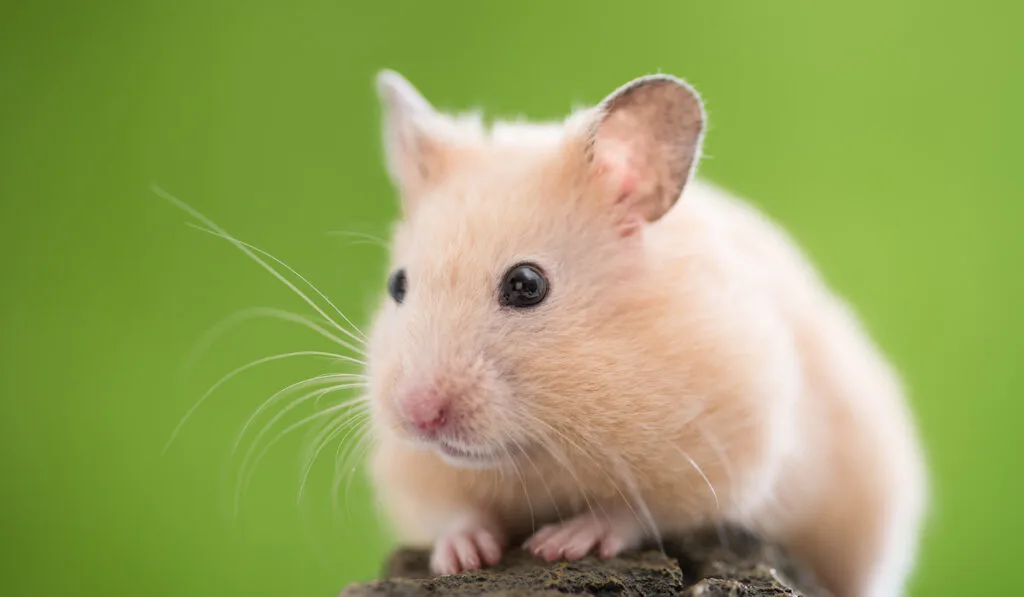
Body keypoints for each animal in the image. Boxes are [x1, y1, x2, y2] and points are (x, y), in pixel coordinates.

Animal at [360, 71, 929, 597]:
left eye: (526, 284)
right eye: (397, 284)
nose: (417, 414)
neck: (540, 451)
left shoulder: (730, 446)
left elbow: (640, 510)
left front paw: (561, 544)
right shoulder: (419, 474)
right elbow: (455, 512)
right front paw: (461, 555)